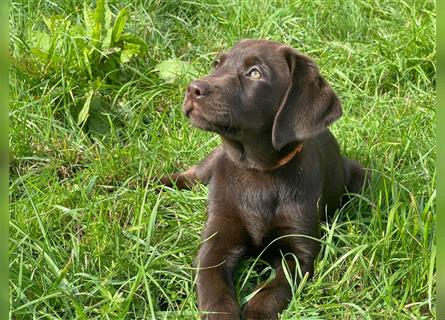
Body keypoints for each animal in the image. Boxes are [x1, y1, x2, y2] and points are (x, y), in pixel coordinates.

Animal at [160, 40, 364, 320]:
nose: (192, 88)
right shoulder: (216, 241)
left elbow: (271, 292)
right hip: (208, 164)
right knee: (188, 176)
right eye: (217, 64)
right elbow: (214, 290)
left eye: (255, 73)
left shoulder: (299, 252)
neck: (258, 171)